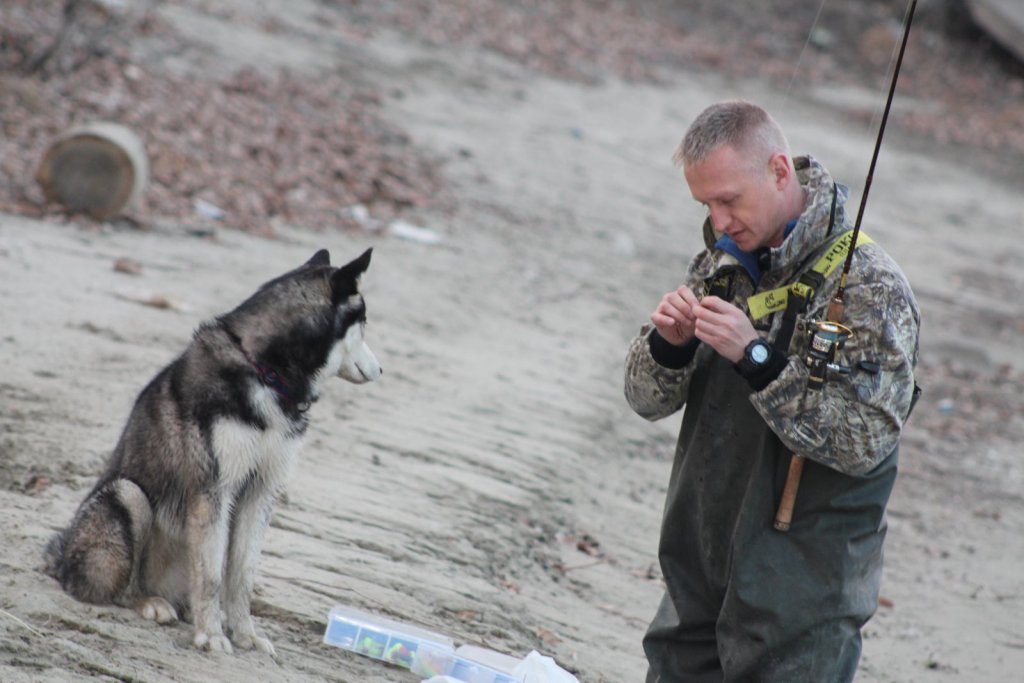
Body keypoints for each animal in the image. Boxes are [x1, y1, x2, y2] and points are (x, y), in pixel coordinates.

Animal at [44, 248, 380, 655]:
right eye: (365, 322)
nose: (381, 369)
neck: (267, 374)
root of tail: (61, 558)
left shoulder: (260, 494)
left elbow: (241, 576)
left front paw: (245, 634)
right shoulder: (212, 491)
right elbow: (211, 577)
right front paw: (212, 635)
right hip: (127, 495)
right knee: (120, 586)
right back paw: (150, 602)